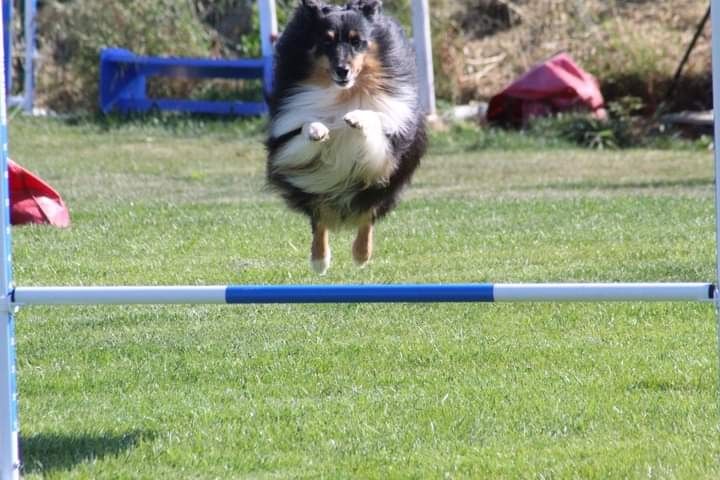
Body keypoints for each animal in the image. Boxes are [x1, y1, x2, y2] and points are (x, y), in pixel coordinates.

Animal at [268, 0, 428, 274]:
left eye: (357, 41)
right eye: (326, 41)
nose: (342, 70)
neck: (343, 93)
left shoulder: (388, 145)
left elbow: (373, 116)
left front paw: (356, 118)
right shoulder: (286, 140)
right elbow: (305, 125)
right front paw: (318, 130)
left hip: (386, 184)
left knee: (367, 213)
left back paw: (361, 254)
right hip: (314, 186)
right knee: (319, 216)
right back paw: (319, 260)